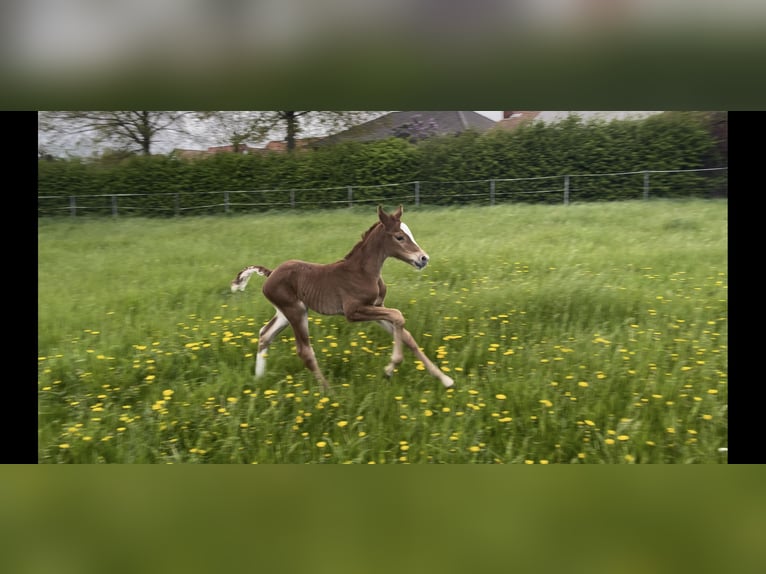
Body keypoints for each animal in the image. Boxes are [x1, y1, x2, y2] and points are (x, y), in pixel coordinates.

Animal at [230, 205, 456, 394]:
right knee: (304, 351)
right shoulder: (353, 311)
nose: (423, 259)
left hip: (286, 312)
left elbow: (406, 335)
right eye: (399, 237)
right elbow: (398, 315)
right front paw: (390, 368)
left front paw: (445, 379)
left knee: (265, 335)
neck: (363, 271)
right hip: (295, 311)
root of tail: (271, 273)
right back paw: (330, 393)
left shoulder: (375, 307)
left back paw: (259, 379)